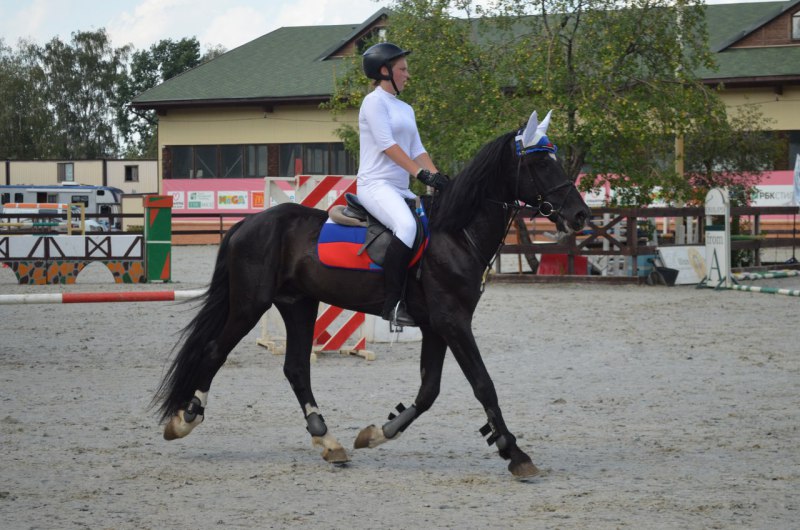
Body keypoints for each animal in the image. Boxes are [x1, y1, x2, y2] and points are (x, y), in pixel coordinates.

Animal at [153, 109, 592, 476]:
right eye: (540, 163)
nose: (580, 215)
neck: (456, 233)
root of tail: (247, 223)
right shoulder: (453, 322)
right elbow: (483, 384)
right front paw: (515, 453)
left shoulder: (437, 326)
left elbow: (428, 391)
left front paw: (379, 432)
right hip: (250, 305)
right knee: (215, 351)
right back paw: (184, 420)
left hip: (298, 304)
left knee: (296, 368)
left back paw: (328, 440)